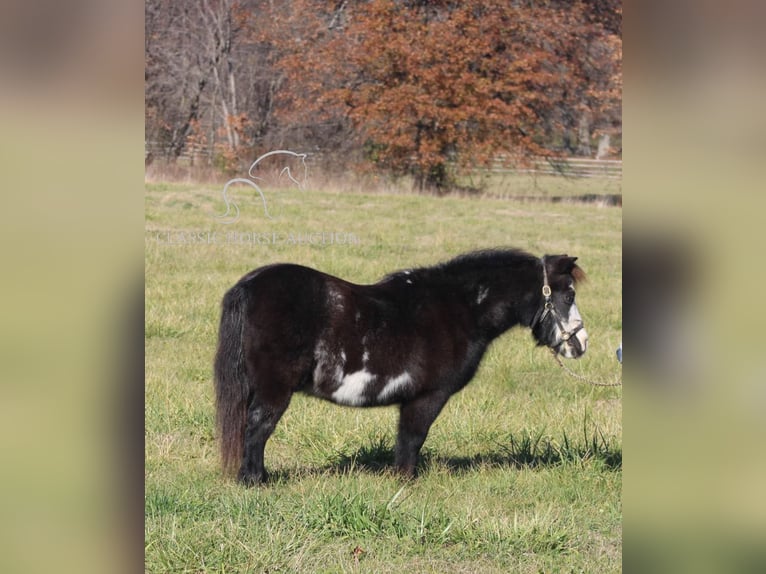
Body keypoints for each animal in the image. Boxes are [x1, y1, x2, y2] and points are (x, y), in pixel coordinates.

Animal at [214, 249, 588, 486]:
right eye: (568, 294)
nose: (581, 343)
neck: (460, 309)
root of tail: (250, 286)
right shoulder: (427, 397)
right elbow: (412, 438)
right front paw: (405, 482)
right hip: (274, 388)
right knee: (258, 427)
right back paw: (255, 482)